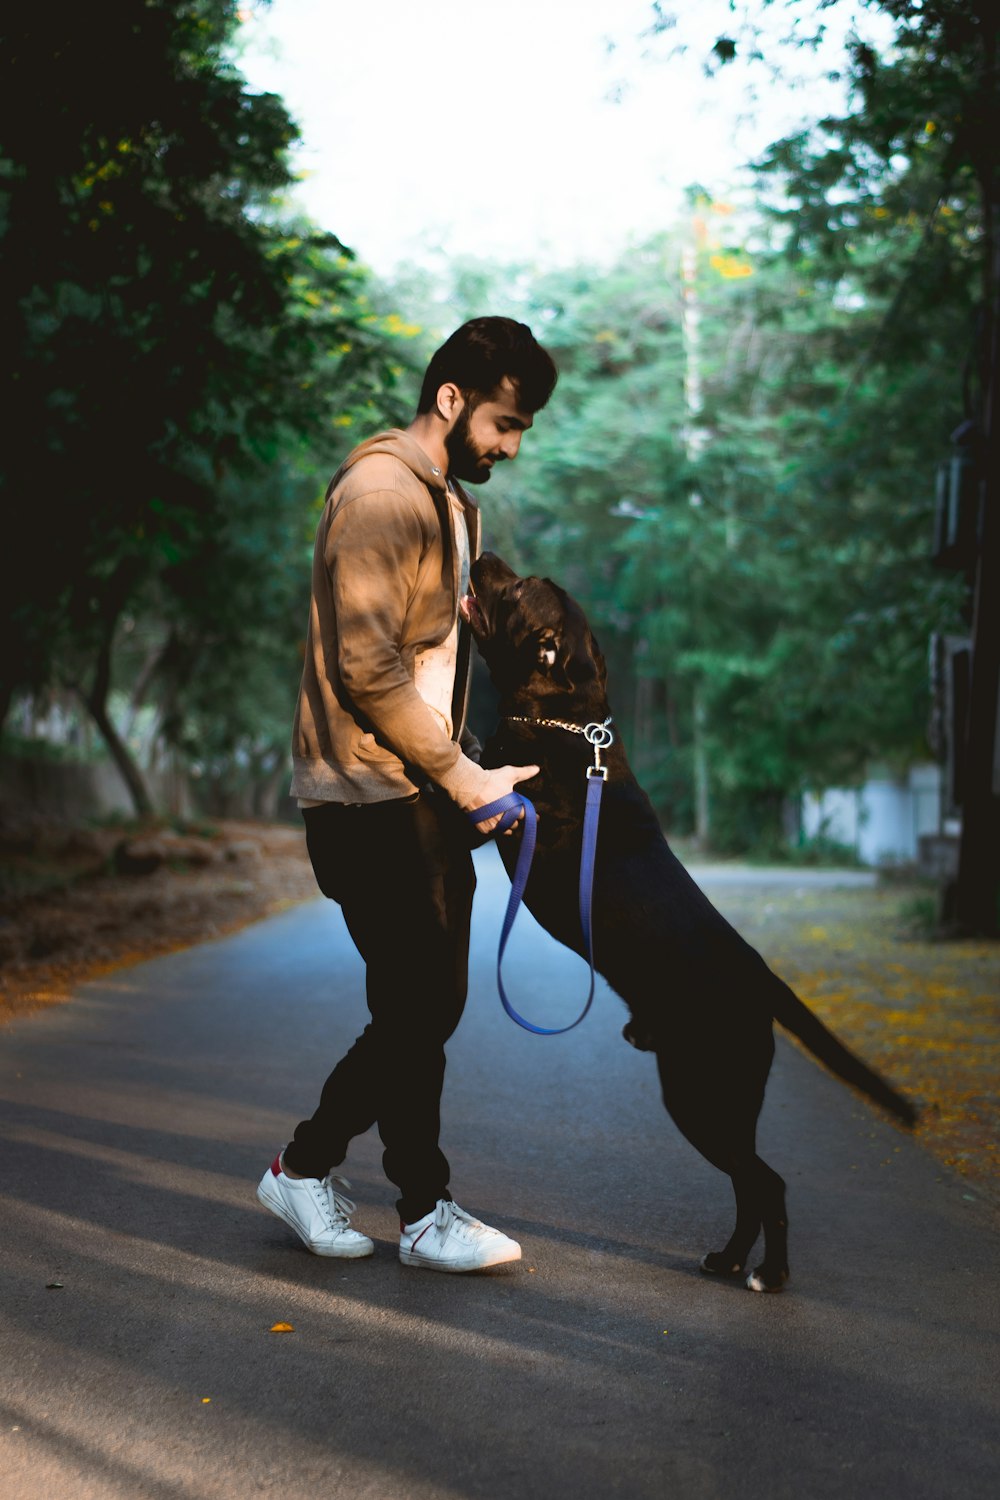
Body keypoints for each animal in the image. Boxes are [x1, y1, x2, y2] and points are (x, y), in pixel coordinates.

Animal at [464, 552, 917, 1290]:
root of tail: (763, 978)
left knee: (767, 1184)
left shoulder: (506, 807)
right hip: (721, 1102)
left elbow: (478, 768)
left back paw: (770, 1275)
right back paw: (730, 1260)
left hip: (698, 1094)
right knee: (748, 1185)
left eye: (520, 588)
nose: (485, 557)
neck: (568, 722)